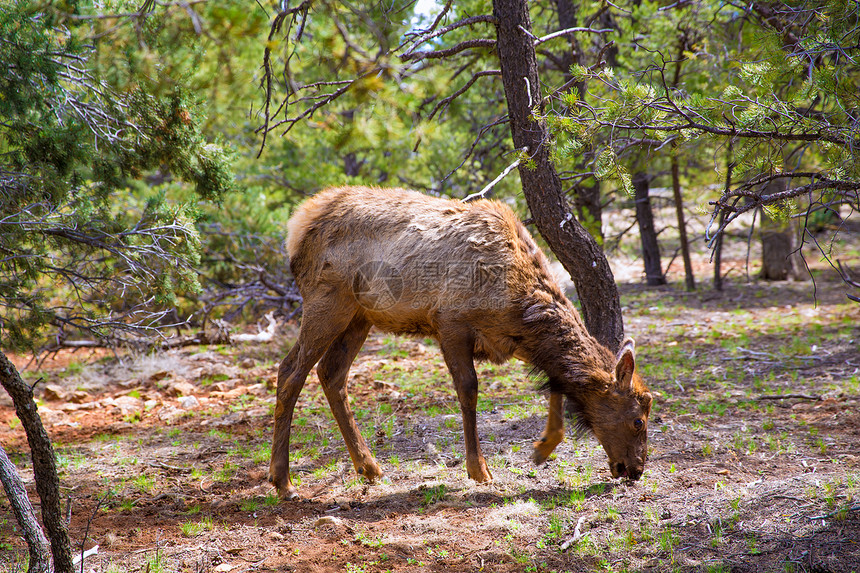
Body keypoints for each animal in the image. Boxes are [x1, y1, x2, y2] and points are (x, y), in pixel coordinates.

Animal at [270, 187, 652, 496]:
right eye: (638, 420)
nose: (636, 470)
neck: (519, 307)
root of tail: (296, 226)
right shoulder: (451, 322)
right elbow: (468, 390)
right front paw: (479, 469)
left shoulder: (517, 343)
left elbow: (556, 383)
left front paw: (541, 448)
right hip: (328, 300)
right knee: (290, 371)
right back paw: (283, 481)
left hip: (359, 316)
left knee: (331, 374)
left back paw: (369, 467)